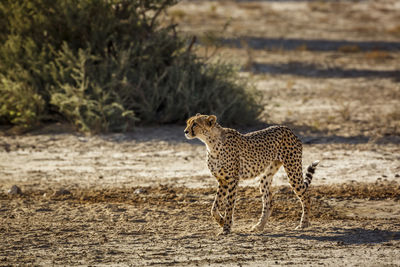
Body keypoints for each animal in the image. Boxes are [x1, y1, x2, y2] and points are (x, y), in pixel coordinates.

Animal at [184, 114, 318, 236]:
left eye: (195, 124)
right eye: (188, 123)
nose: (185, 131)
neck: (211, 142)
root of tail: (287, 128)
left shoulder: (232, 180)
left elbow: (229, 205)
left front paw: (226, 228)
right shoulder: (222, 180)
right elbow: (214, 208)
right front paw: (222, 222)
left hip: (293, 170)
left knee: (306, 196)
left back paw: (304, 223)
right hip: (265, 177)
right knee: (269, 202)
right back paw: (259, 226)